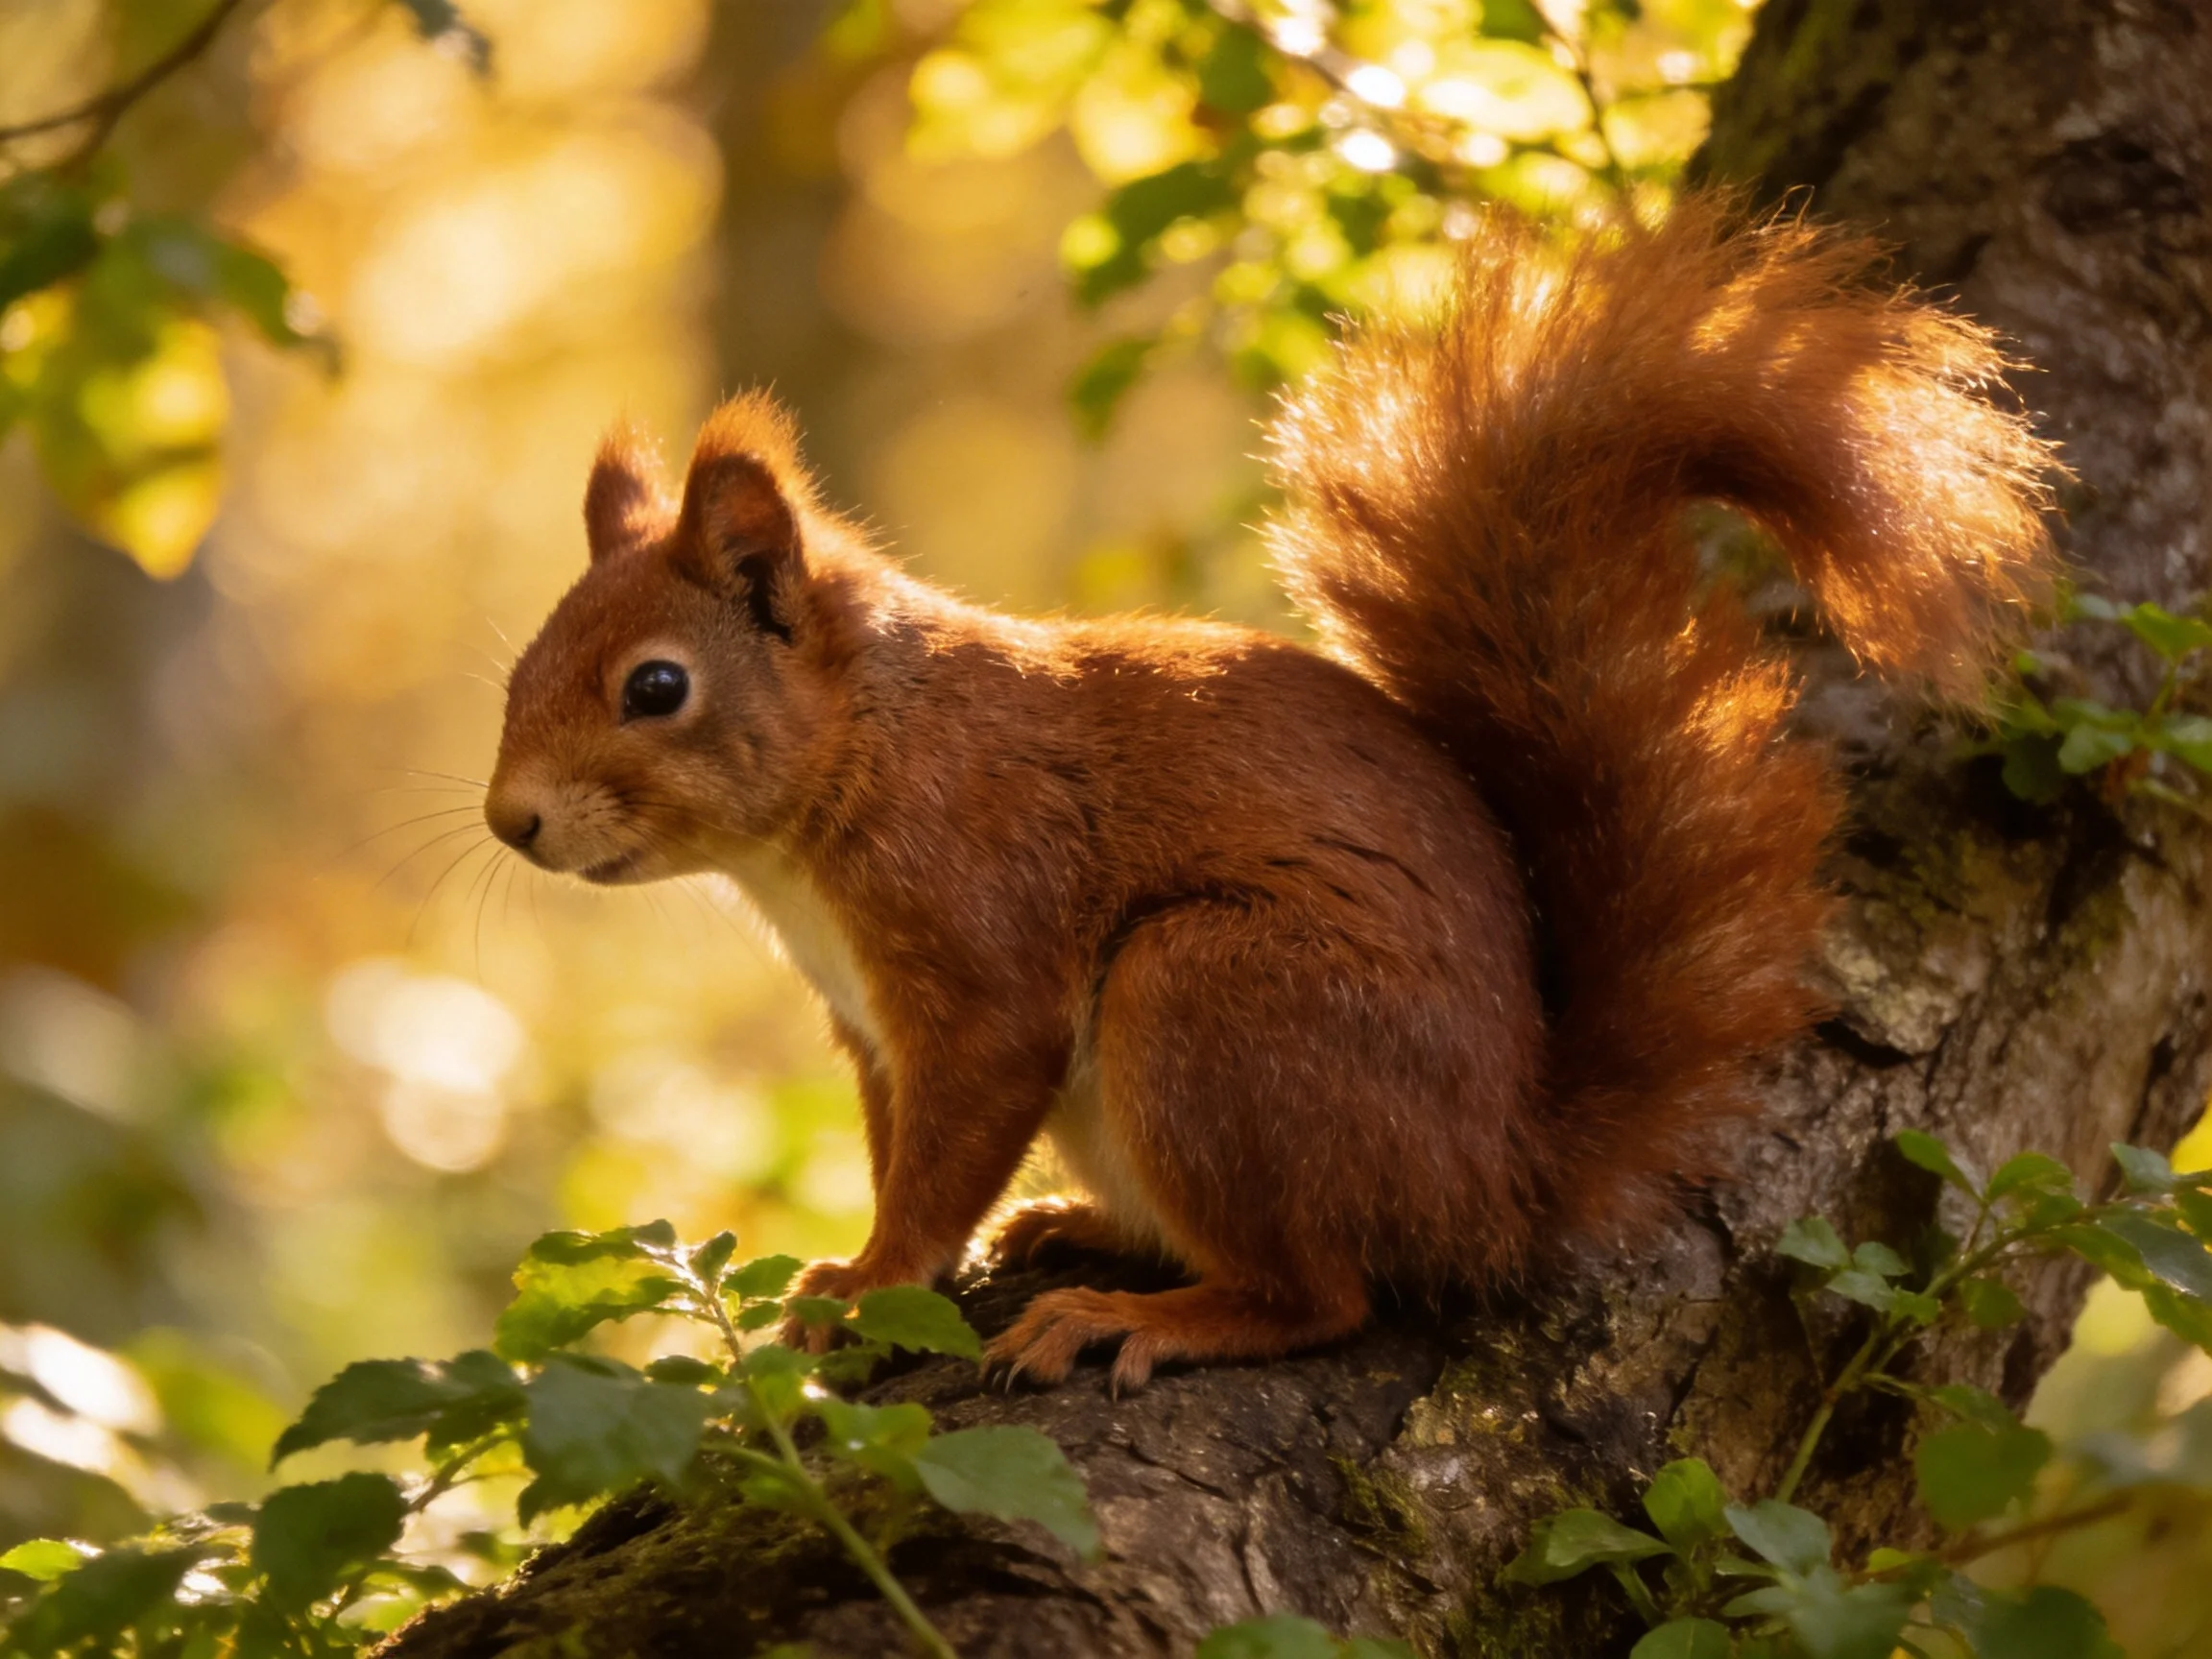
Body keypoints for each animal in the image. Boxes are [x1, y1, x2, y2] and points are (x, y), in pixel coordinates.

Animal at [484, 197, 2059, 1390]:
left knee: (1323, 1297)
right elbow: (898, 1152)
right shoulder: (871, 1030)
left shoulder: (978, 942)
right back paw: (1082, 1232)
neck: (857, 762)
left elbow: (949, 1151)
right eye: (518, 664)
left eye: (656, 688)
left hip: (1218, 1002)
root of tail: (1501, 1181)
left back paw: (1137, 1318)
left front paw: (871, 1287)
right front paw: (863, 1263)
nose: (513, 822)